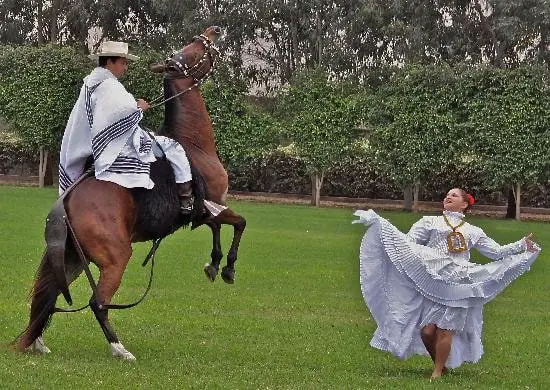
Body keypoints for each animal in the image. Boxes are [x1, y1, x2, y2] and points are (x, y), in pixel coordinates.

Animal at [15, 25, 248, 362]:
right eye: (191, 50)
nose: (212, 32)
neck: (194, 143)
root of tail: (66, 201)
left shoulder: (208, 210)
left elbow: (218, 228)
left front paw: (213, 265)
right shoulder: (214, 204)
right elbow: (239, 223)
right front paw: (226, 267)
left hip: (73, 258)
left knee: (49, 292)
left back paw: (37, 342)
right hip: (115, 258)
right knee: (98, 302)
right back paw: (119, 348)